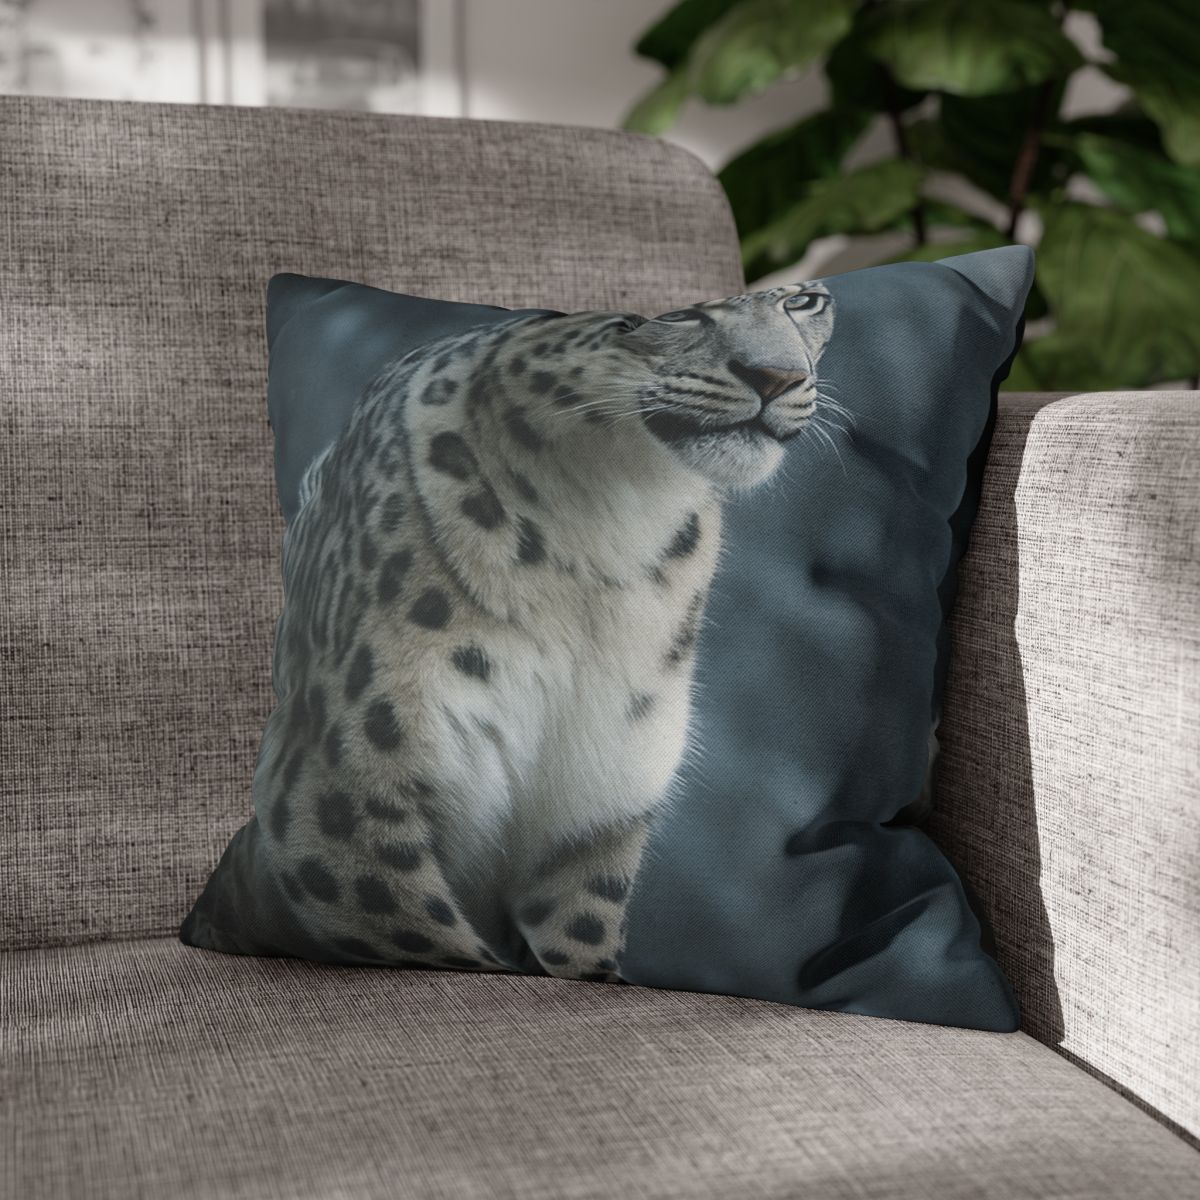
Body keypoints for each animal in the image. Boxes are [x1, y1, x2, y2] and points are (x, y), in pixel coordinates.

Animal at [235, 282, 835, 981]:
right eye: (678, 317)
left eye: (804, 302)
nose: (777, 376)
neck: (610, 530)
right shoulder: (344, 789)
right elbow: (419, 926)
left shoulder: (596, 809)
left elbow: (579, 933)